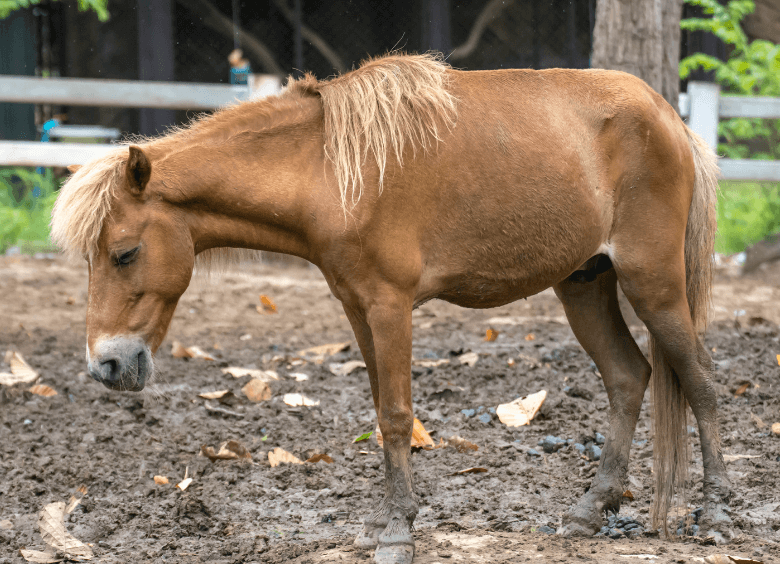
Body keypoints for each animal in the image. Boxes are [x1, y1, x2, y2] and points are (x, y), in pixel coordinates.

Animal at [51, 53, 732, 564]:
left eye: (124, 253)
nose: (106, 366)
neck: (326, 168)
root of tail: (669, 119)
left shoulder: (390, 306)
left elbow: (399, 415)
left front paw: (398, 534)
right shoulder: (357, 309)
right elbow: (380, 413)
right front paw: (388, 521)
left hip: (653, 283)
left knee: (699, 379)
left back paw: (716, 509)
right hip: (585, 285)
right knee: (628, 377)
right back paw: (591, 511)